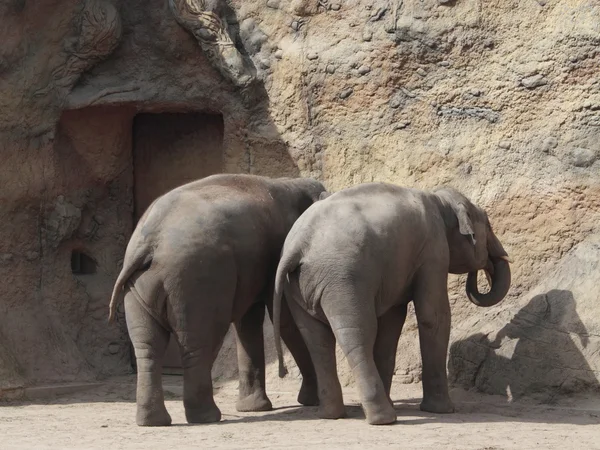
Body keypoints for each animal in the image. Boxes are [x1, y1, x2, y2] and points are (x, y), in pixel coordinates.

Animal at [105, 173, 326, 426]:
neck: (291, 182)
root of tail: (148, 242)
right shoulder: (278, 250)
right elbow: (286, 319)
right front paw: (311, 401)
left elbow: (248, 322)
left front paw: (253, 408)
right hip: (196, 281)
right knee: (200, 343)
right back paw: (207, 417)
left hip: (141, 288)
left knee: (148, 347)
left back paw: (153, 421)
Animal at [272, 182, 510, 426]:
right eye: (488, 225)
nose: (482, 264)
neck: (439, 200)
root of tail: (297, 246)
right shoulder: (433, 250)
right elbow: (433, 315)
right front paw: (443, 410)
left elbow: (391, 323)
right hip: (343, 279)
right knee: (358, 333)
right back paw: (383, 418)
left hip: (298, 286)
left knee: (316, 340)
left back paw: (332, 414)